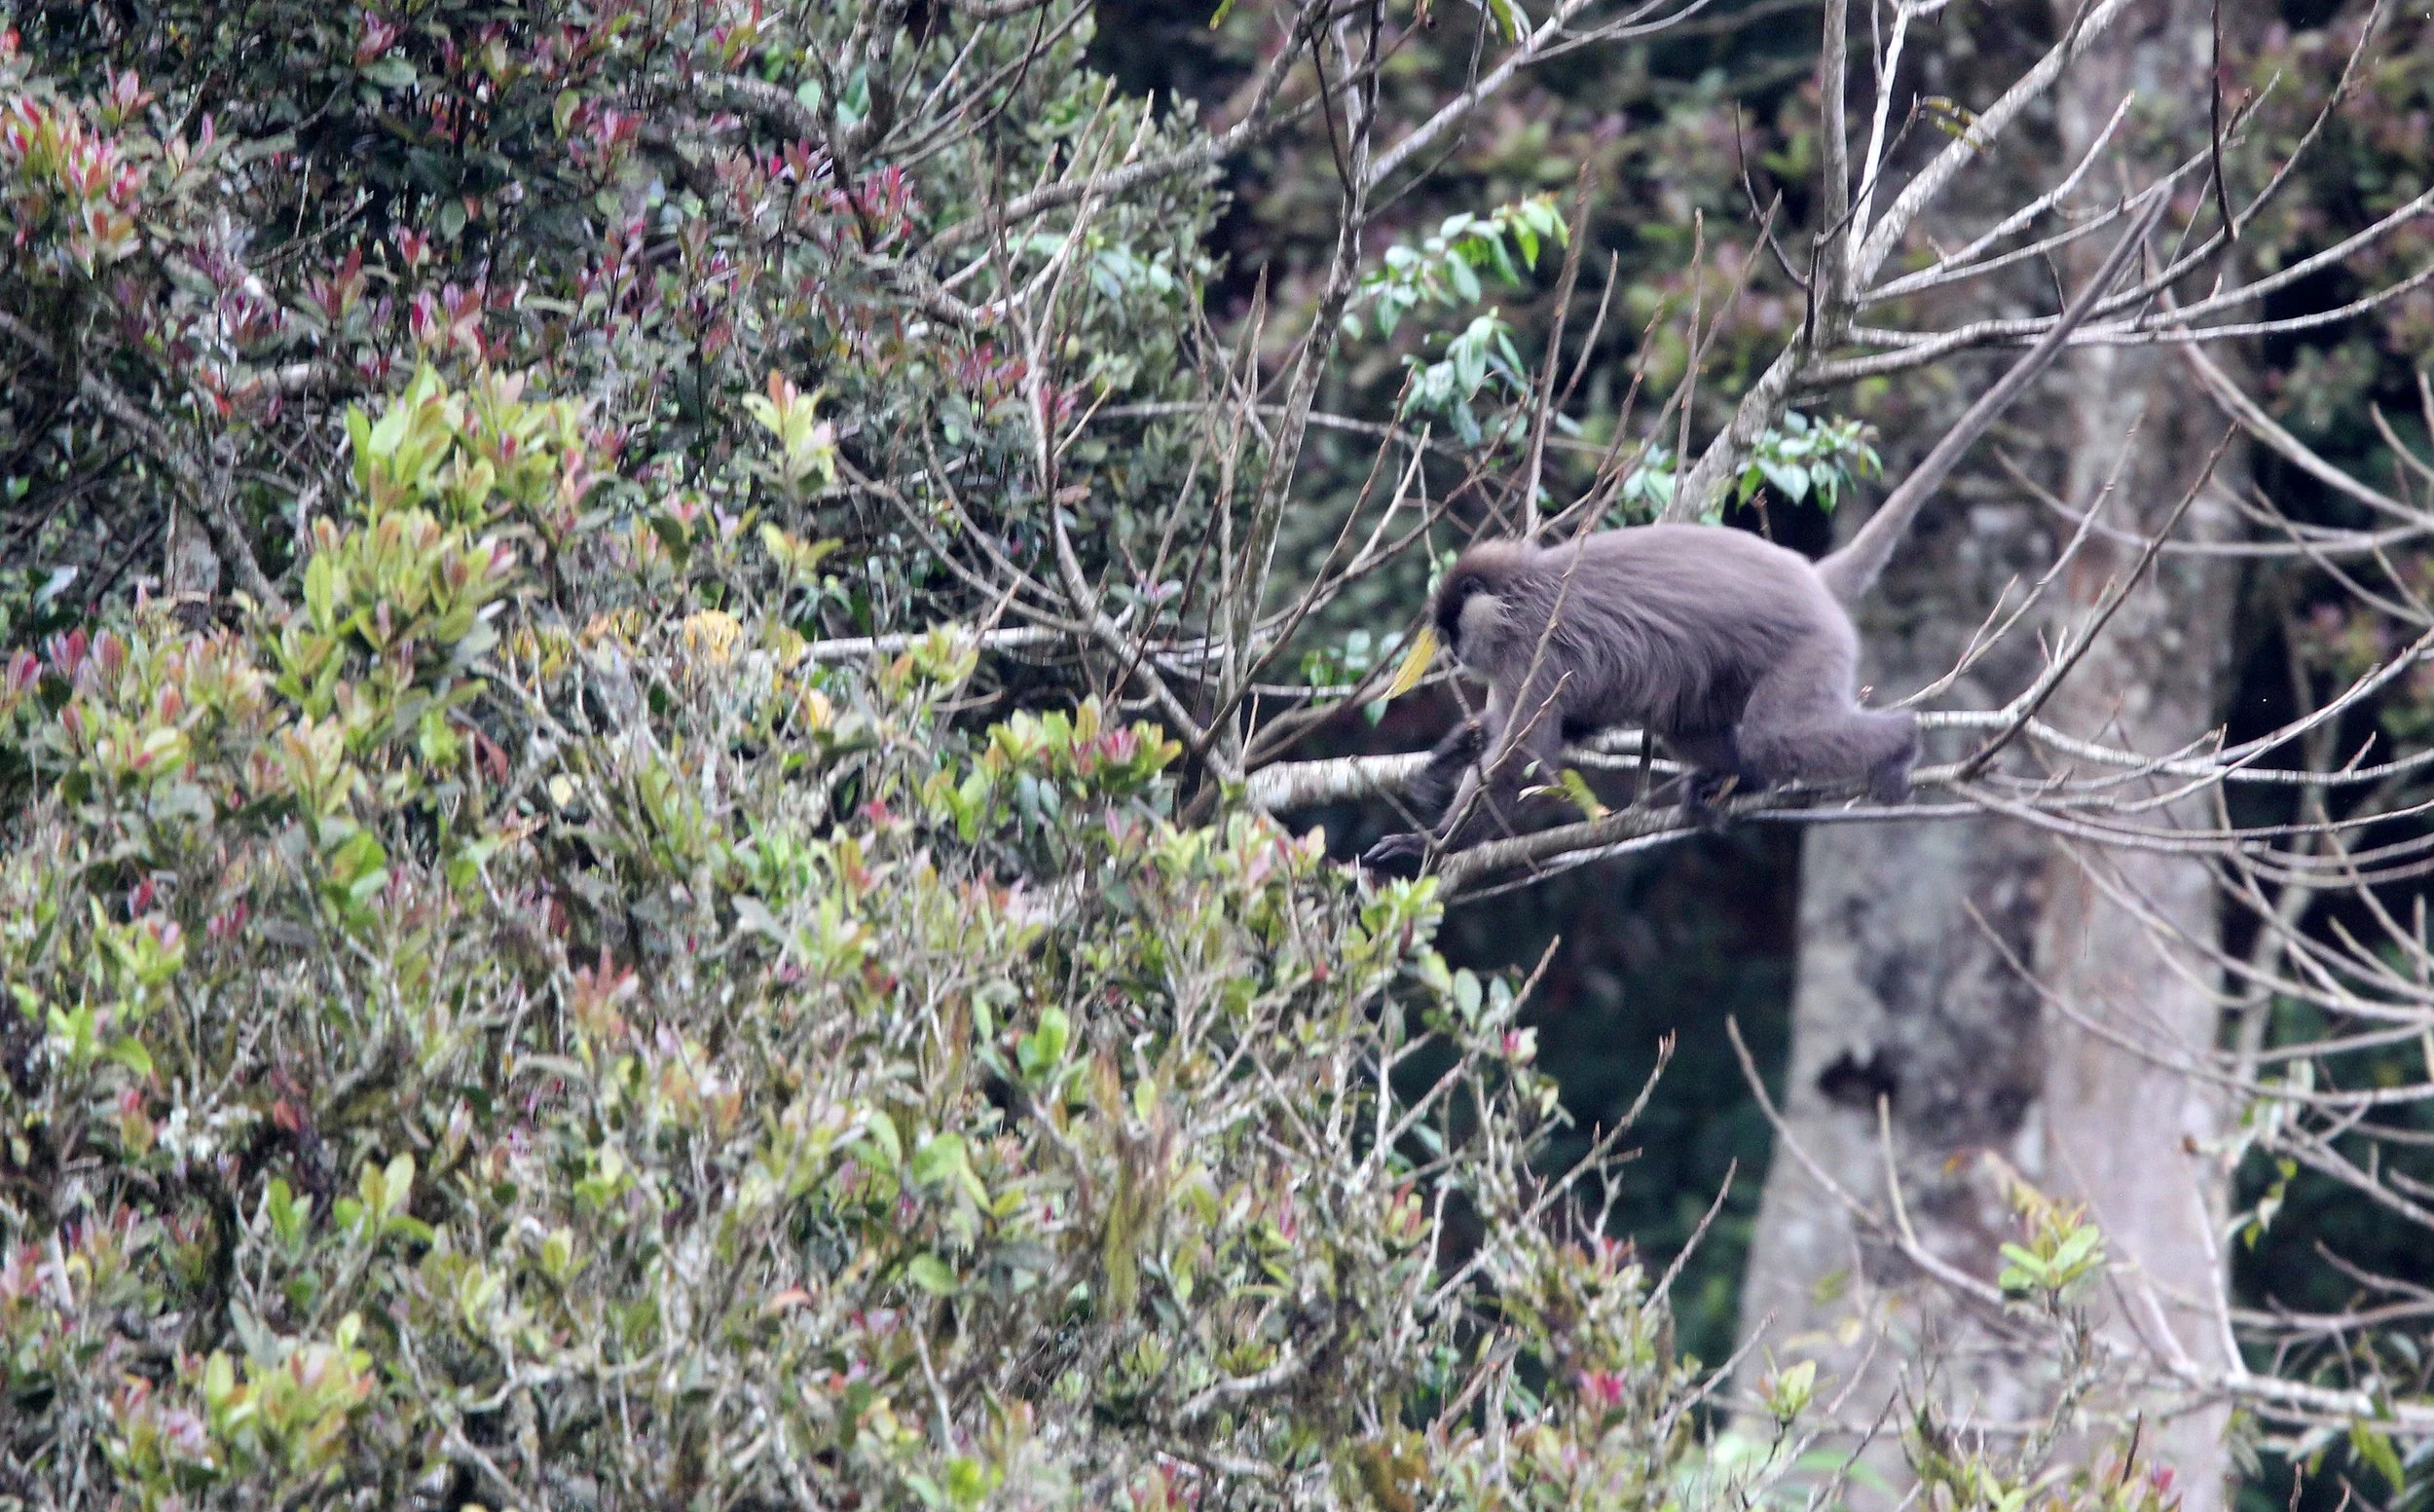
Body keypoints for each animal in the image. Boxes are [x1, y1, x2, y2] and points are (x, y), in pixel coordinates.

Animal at [1359, 502, 1925, 875]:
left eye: (1453, 633)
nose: (1455, 655)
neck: (1519, 596)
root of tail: (1811, 579)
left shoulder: (1530, 649)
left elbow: (1521, 756)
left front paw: (1429, 845)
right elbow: (1544, 725)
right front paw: (1447, 759)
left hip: (1812, 647)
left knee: (1775, 738)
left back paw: (1901, 742)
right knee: (1690, 725)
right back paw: (1744, 781)